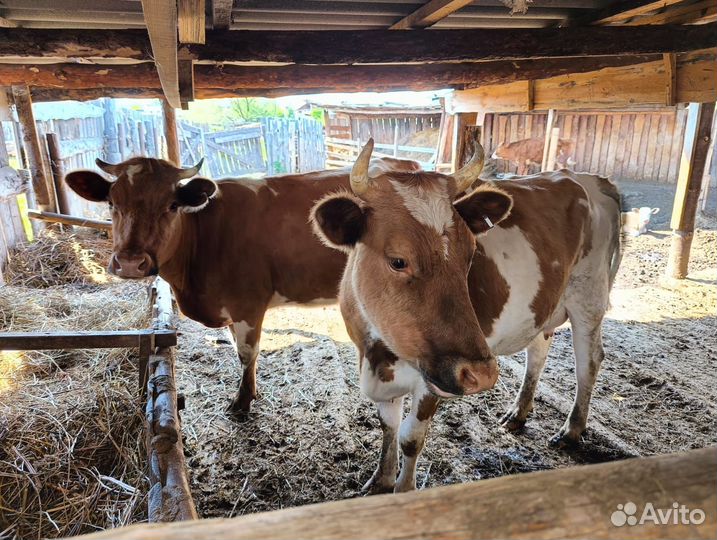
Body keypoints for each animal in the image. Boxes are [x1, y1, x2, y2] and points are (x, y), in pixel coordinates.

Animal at [64, 156, 420, 416]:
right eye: (112, 203)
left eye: (171, 205)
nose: (129, 262)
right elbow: (239, 350)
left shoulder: (248, 303)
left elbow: (247, 353)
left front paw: (243, 401)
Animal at [311, 139, 621, 493]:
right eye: (398, 261)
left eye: (471, 254)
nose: (482, 374)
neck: (379, 354)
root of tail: (588, 177)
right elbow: (387, 426)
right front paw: (381, 481)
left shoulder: (432, 379)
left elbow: (409, 438)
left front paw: (403, 489)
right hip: (544, 306)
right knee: (538, 352)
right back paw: (518, 412)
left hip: (589, 298)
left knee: (589, 362)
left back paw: (571, 430)